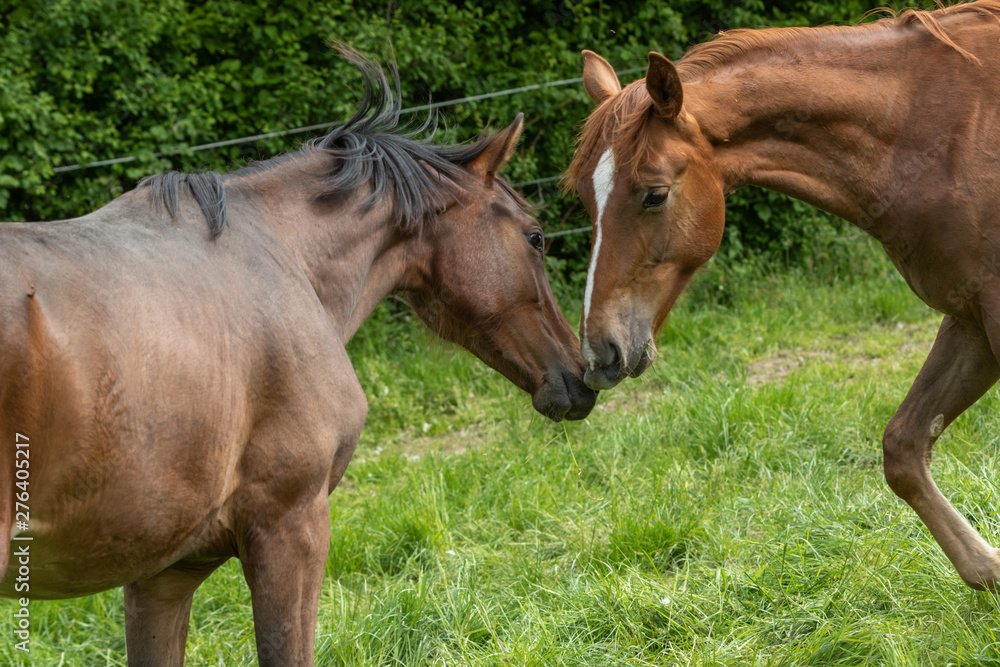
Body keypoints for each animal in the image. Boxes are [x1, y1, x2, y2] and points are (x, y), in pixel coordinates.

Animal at [568, 0, 1000, 592]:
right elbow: (903, 449)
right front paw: (989, 569)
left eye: (655, 194)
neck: (945, 128)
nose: (599, 354)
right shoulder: (970, 319)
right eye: (586, 197)